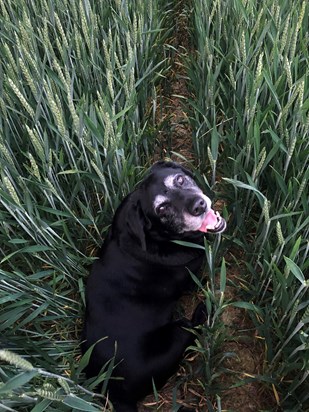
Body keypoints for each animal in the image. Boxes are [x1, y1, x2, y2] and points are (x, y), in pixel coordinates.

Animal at [82, 162, 226, 412]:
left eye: (179, 180)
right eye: (162, 209)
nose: (198, 205)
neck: (159, 238)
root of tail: (115, 393)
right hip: (178, 331)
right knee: (193, 328)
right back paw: (203, 311)